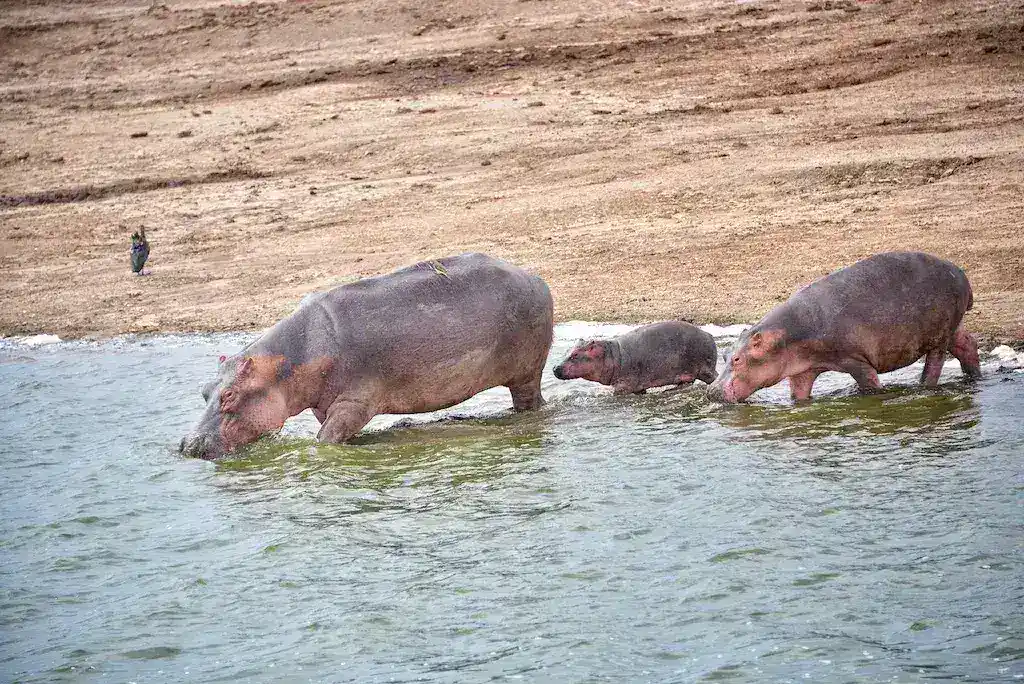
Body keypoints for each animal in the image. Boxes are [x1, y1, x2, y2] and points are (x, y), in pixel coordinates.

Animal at [179, 253, 554, 459]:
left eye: (229, 395)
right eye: (204, 391)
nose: (187, 444)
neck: (287, 365)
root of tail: (534, 276)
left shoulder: (354, 403)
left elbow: (326, 440)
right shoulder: (325, 405)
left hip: (525, 372)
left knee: (529, 401)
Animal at [553, 321, 718, 394]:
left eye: (575, 355)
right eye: (568, 350)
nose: (554, 367)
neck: (611, 355)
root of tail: (708, 335)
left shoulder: (624, 385)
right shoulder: (638, 386)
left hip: (705, 370)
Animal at [707, 251, 982, 403]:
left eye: (737, 359)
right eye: (725, 354)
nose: (711, 391)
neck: (783, 338)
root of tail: (961, 274)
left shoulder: (854, 359)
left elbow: (870, 383)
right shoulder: (803, 369)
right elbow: (799, 395)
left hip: (938, 336)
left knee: (935, 364)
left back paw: (925, 386)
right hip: (949, 328)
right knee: (967, 344)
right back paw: (974, 378)